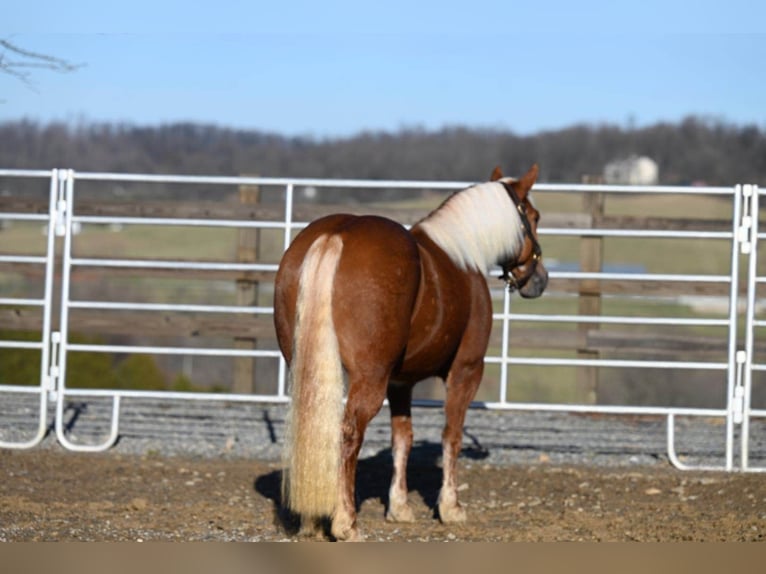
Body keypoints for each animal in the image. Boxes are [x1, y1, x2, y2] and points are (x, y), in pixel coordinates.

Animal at [272, 165, 548, 540]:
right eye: (533, 217)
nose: (539, 279)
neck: (461, 255)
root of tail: (337, 234)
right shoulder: (466, 370)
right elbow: (451, 436)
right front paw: (451, 508)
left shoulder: (400, 383)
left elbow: (402, 439)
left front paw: (399, 507)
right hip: (369, 379)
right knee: (348, 434)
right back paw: (346, 524)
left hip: (306, 367)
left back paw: (312, 522)